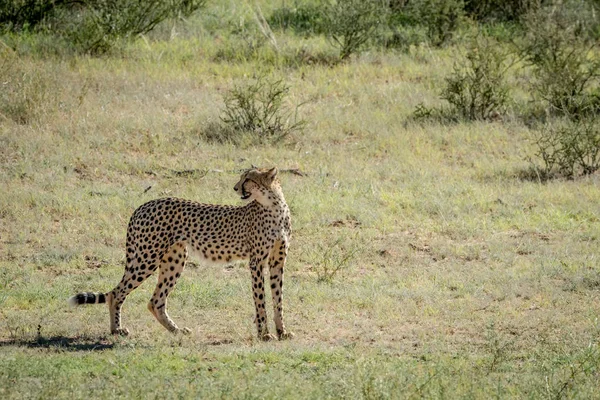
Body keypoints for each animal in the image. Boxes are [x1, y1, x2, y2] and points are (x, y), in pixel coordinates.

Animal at [69, 166, 294, 340]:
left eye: (248, 178)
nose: (235, 187)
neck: (274, 206)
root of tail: (143, 205)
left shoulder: (277, 261)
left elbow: (278, 299)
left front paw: (282, 332)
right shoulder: (256, 262)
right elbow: (260, 299)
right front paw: (264, 334)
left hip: (173, 259)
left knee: (155, 301)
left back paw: (176, 330)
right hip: (147, 257)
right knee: (116, 293)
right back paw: (116, 329)